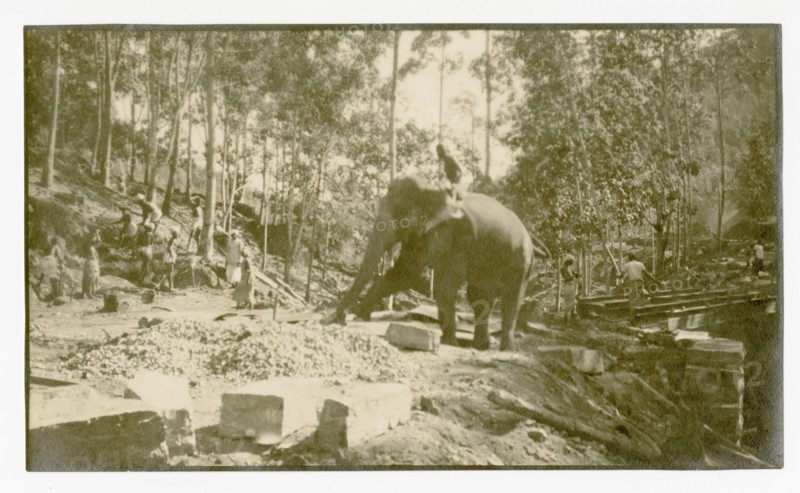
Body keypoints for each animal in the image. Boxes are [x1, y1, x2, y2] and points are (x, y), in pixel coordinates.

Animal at [323, 175, 548, 351]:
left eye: (402, 219)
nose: (338, 319)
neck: (430, 188)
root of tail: (530, 236)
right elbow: (404, 272)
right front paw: (360, 313)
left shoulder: (455, 236)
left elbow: (443, 285)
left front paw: (449, 342)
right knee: (479, 296)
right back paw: (481, 346)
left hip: (522, 262)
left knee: (512, 299)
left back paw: (505, 349)